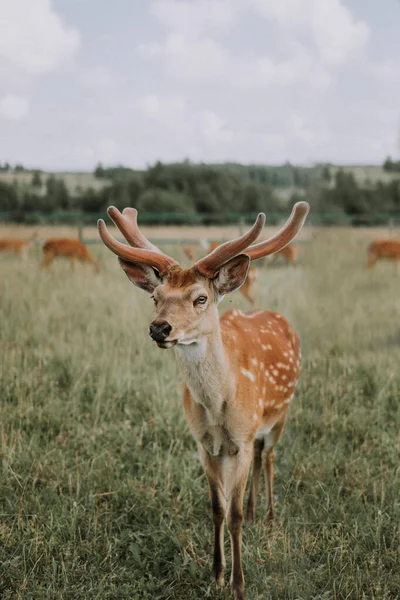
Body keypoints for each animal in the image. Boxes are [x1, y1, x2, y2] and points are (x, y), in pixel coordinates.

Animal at [97, 203, 310, 600]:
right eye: (156, 297)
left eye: (200, 298)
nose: (159, 328)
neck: (218, 407)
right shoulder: (205, 444)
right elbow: (217, 507)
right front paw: (216, 574)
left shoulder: (240, 440)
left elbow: (234, 513)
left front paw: (239, 584)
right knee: (260, 458)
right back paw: (257, 513)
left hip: (281, 414)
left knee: (269, 457)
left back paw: (269, 517)